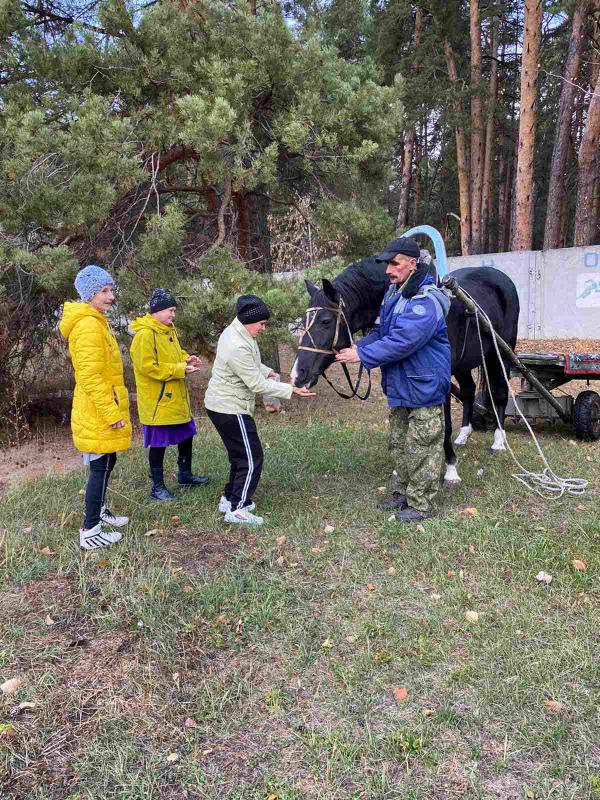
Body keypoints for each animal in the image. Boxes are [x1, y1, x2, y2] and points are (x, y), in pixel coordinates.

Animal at [292, 256, 520, 482]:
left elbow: (445, 426)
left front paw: (451, 469)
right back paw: (464, 434)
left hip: (500, 353)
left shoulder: (440, 380)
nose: (298, 374)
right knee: (469, 391)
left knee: (500, 392)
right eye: (302, 322)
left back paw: (499, 440)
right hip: (464, 364)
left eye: (325, 321)